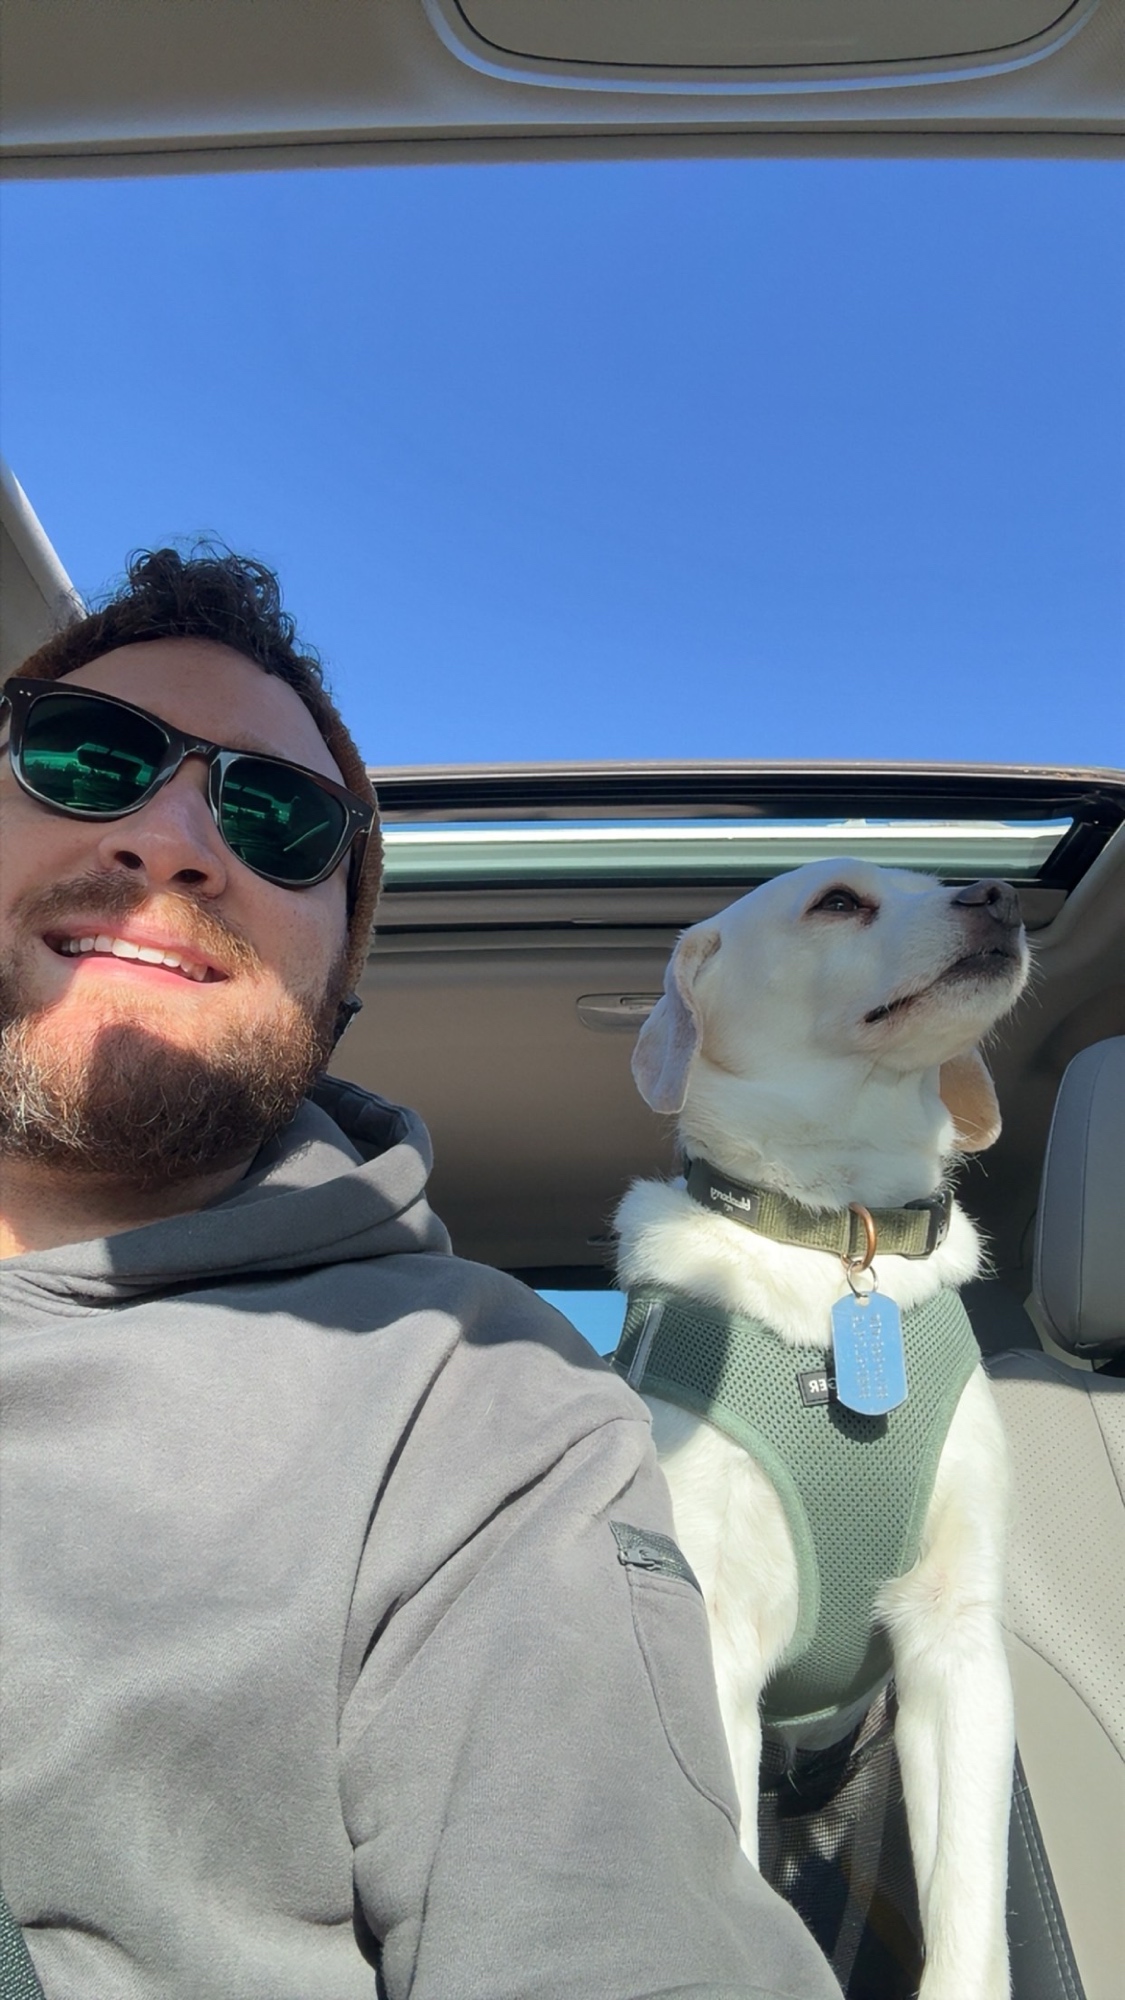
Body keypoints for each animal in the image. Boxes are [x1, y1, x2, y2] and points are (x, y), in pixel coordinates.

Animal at [613, 859, 1029, 2000]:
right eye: (838, 900)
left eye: (934, 875)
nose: (997, 893)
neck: (840, 1236)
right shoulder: (714, 1636)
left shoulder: (956, 1641)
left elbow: (968, 1917)